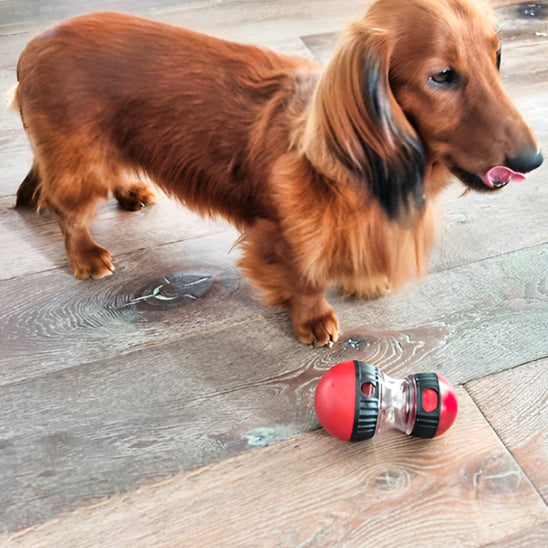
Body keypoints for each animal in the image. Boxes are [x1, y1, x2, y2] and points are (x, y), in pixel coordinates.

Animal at [9, 0, 544, 344]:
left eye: (497, 57)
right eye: (442, 76)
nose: (532, 162)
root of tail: (32, 46)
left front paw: (364, 278)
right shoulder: (281, 235)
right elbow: (303, 279)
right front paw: (313, 320)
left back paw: (130, 192)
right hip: (79, 162)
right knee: (67, 211)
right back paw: (86, 255)